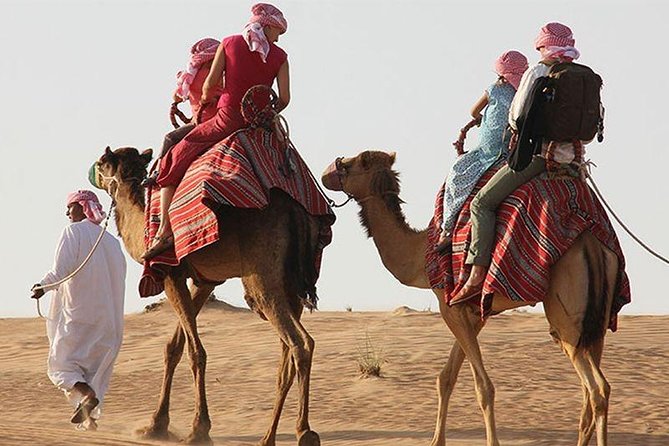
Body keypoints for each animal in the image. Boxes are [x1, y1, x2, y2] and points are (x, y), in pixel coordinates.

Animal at [94, 146, 323, 446]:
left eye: (102, 163)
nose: (92, 174)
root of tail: (294, 212)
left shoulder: (170, 274)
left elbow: (195, 351)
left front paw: (198, 429)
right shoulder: (205, 281)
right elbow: (174, 346)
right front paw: (155, 425)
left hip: (262, 279)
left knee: (300, 343)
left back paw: (304, 431)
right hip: (291, 285)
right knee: (286, 358)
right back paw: (268, 437)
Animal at [321, 150, 619, 446]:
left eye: (350, 164)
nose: (325, 174)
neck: (420, 254)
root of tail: (590, 242)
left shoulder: (449, 306)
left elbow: (483, 387)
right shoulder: (473, 312)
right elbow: (446, 378)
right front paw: (436, 441)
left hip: (566, 318)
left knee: (596, 388)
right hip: (596, 320)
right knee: (593, 389)